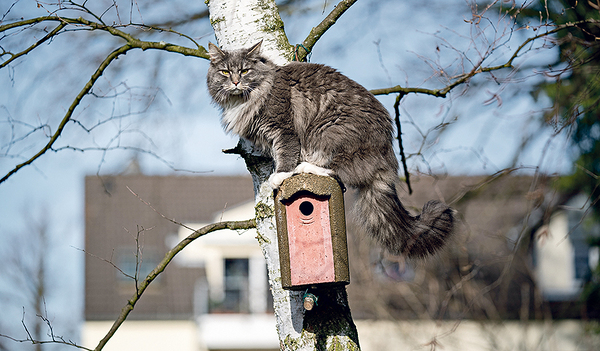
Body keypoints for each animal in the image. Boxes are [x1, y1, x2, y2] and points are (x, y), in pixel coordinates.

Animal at [207, 41, 454, 258]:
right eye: (225, 72)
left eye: (245, 71)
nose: (236, 82)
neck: (244, 100)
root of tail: (387, 156)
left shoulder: (284, 130)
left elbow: (285, 156)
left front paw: (279, 176)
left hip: (327, 132)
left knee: (337, 172)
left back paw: (305, 166)